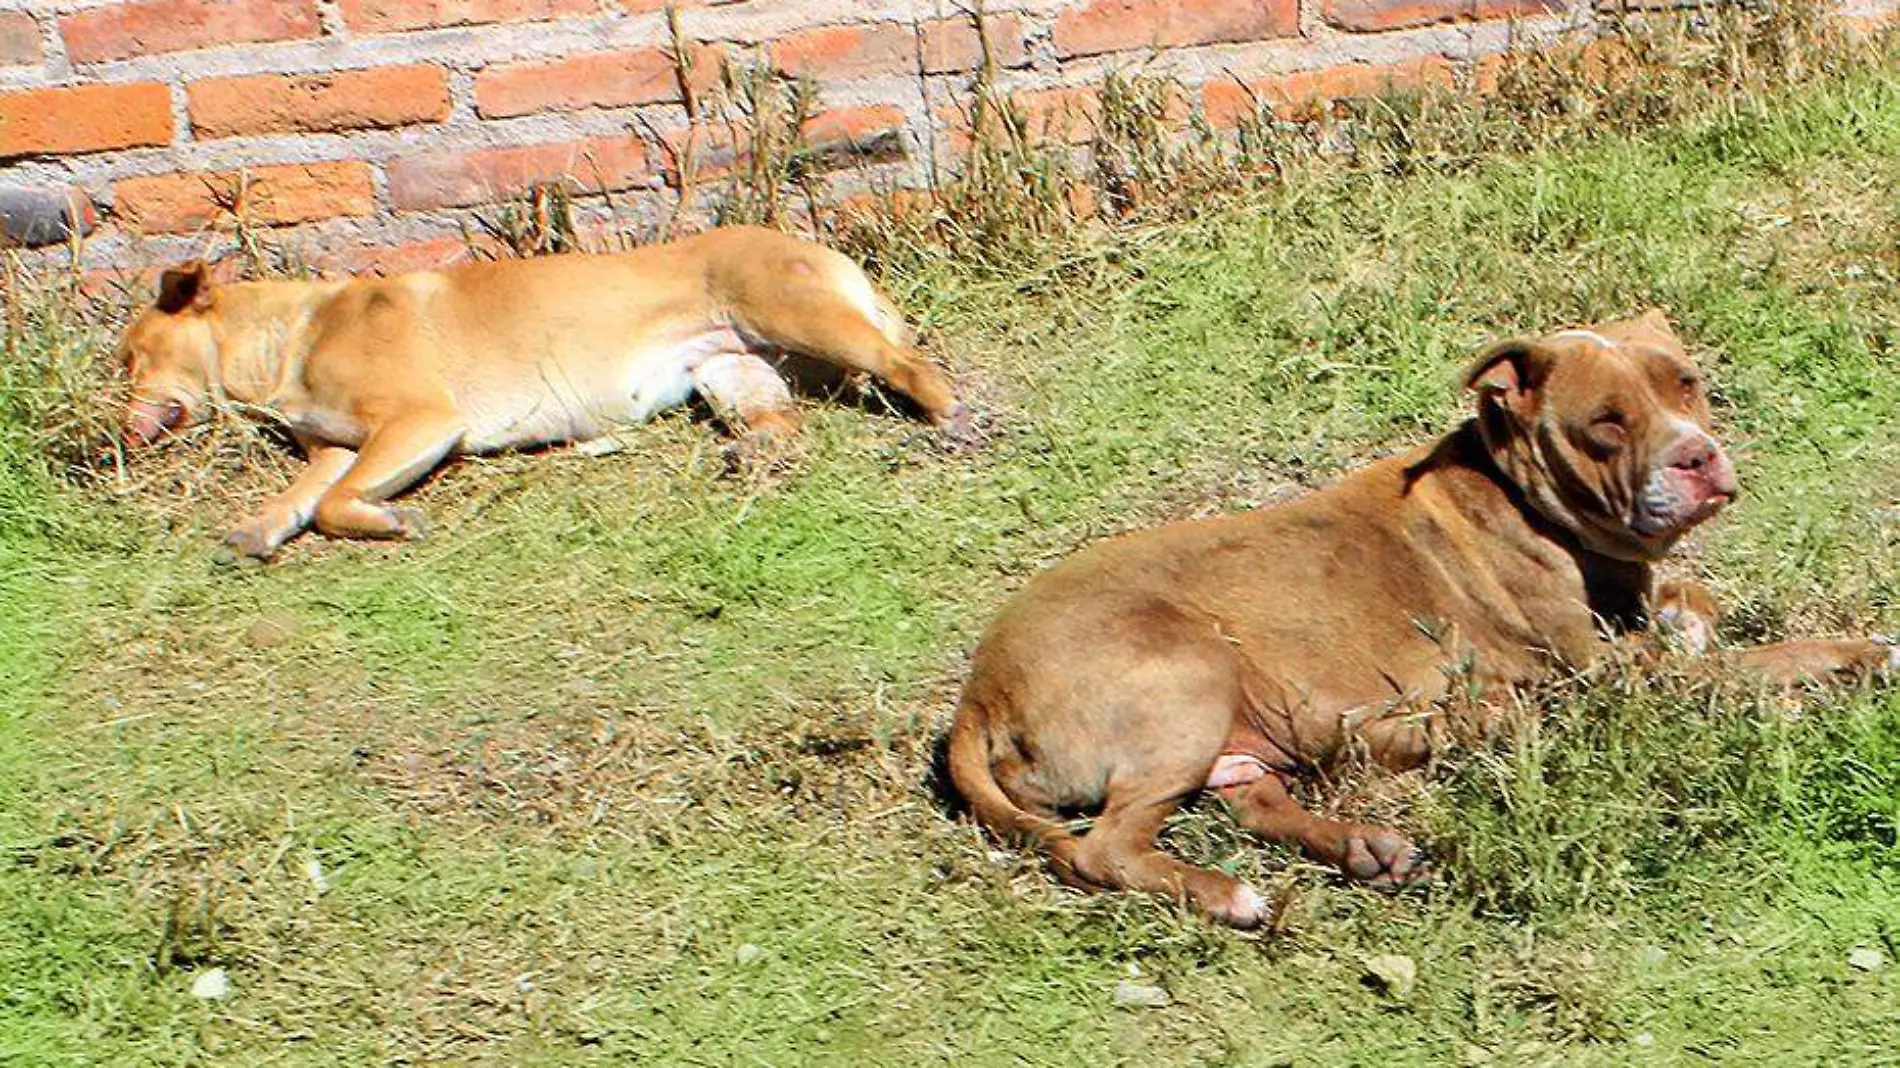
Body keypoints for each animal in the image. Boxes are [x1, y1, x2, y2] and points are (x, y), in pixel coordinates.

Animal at [114, 226, 980, 566]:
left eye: (130, 358)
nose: (117, 431)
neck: (293, 335)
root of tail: (816, 248)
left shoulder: (420, 422)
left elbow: (333, 504)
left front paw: (390, 520)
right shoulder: (336, 447)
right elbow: (302, 495)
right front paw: (259, 526)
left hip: (791, 312)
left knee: (906, 360)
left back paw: (952, 417)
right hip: (734, 370)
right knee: (785, 426)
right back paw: (755, 457)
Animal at [950, 307, 1900, 923]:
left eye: (1687, 384)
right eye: (1605, 423)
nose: (1697, 457)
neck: (1529, 500)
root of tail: (978, 694)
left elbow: (1698, 609)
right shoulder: (1614, 671)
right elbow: (1763, 657)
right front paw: (1865, 652)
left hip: (1234, 728)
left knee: (1257, 800)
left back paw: (1369, 840)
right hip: (1188, 671)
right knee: (1106, 847)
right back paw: (1230, 893)